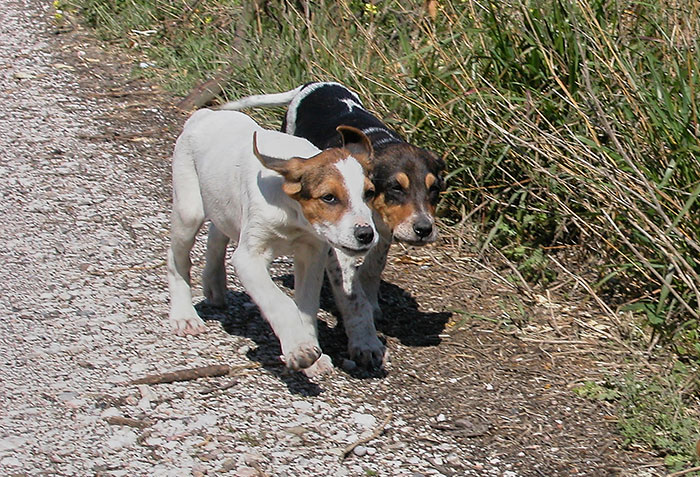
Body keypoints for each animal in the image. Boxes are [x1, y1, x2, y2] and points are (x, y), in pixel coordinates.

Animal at [166, 108, 378, 376]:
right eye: (329, 197)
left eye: (369, 193)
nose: (366, 235)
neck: (293, 213)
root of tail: (206, 113)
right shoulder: (249, 259)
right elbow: (281, 303)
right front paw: (299, 349)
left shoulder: (312, 255)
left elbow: (306, 307)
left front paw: (311, 351)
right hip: (188, 212)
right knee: (177, 259)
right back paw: (184, 316)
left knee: (217, 233)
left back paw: (214, 284)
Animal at [221, 82, 446, 368]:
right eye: (396, 187)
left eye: (434, 189)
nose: (424, 229)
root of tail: (314, 84)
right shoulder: (338, 244)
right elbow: (353, 296)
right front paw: (365, 342)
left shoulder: (383, 233)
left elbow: (372, 268)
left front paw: (371, 302)